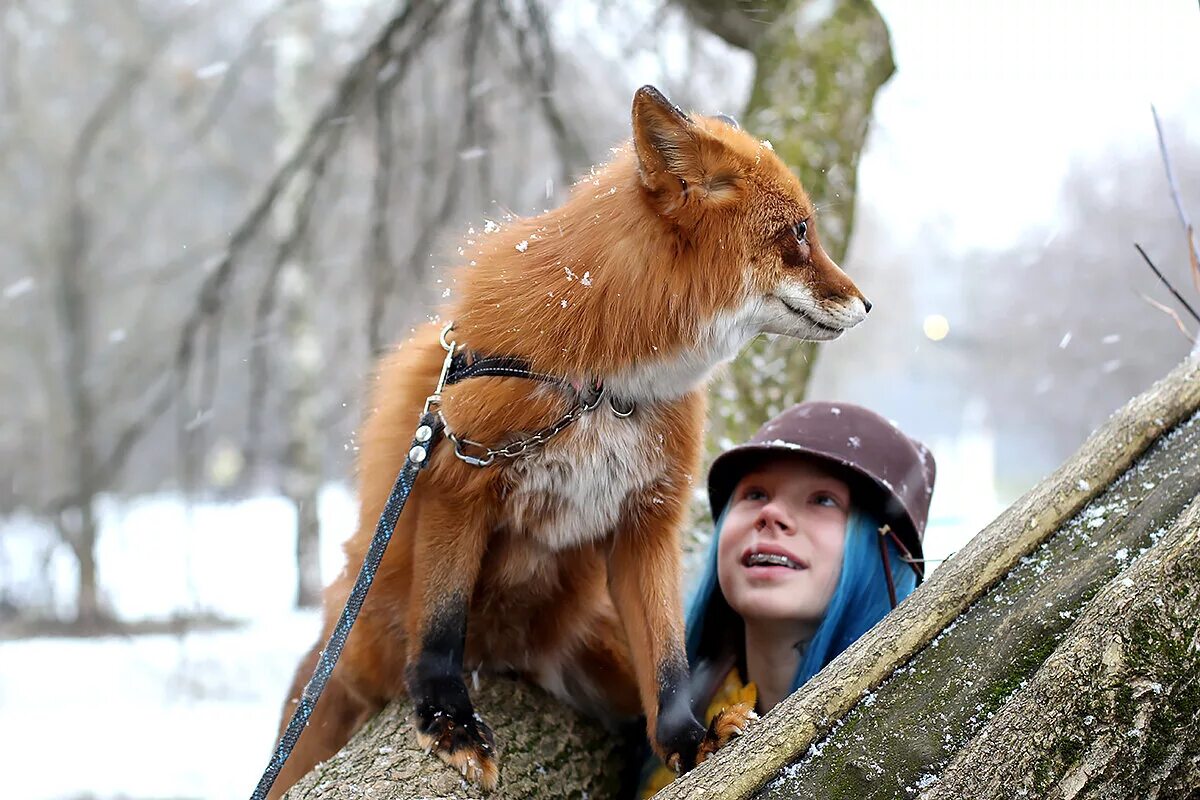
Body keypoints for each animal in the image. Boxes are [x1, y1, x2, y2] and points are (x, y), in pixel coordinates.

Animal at [272, 84, 873, 796]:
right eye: (800, 232)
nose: (868, 305)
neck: (601, 389)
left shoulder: (648, 517)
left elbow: (668, 665)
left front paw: (686, 742)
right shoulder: (459, 476)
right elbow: (441, 626)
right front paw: (449, 721)